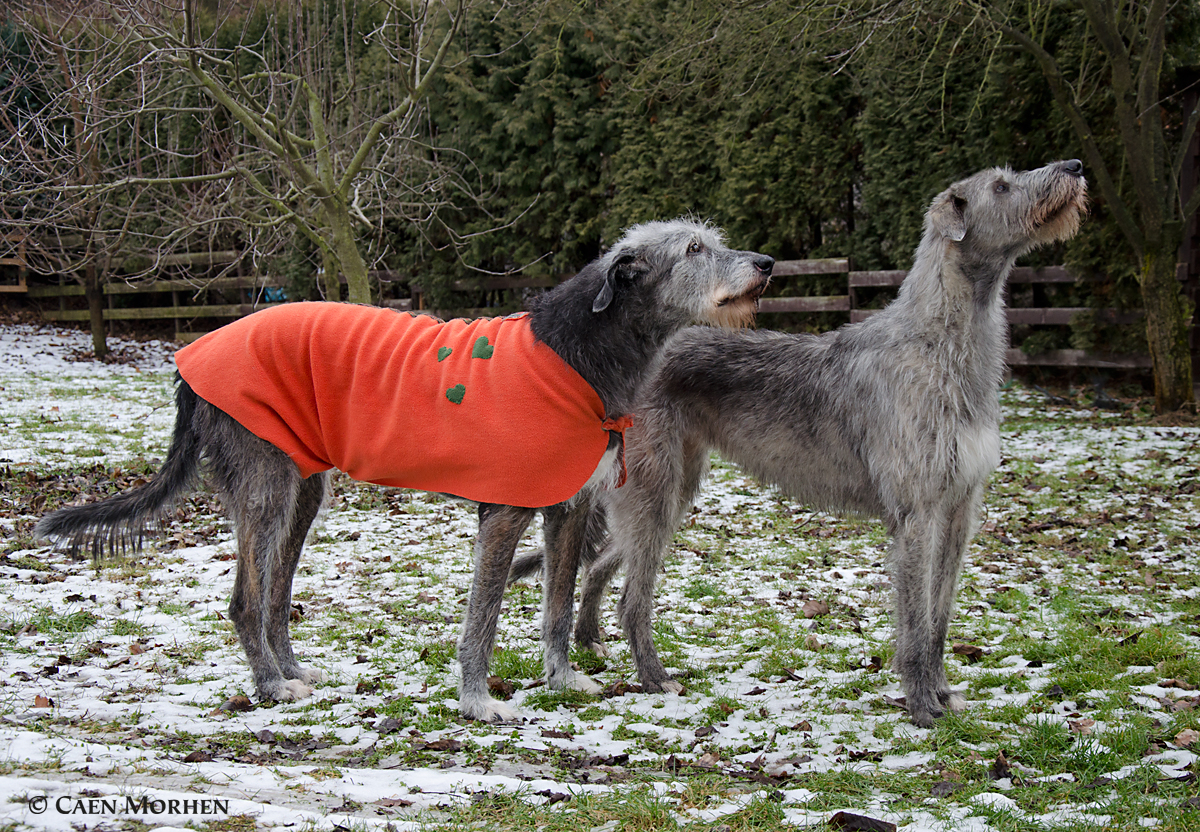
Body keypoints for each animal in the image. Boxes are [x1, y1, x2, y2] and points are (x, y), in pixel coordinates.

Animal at [37, 220, 777, 720]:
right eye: (692, 249)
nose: (768, 262)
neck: (572, 352)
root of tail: (190, 363)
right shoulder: (504, 509)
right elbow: (483, 616)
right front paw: (479, 701)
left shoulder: (566, 508)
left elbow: (559, 603)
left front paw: (563, 680)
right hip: (266, 484)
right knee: (246, 597)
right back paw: (270, 687)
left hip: (304, 490)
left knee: (275, 594)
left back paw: (290, 671)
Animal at [511, 158, 1094, 725]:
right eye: (1001, 185)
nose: (1075, 164)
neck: (938, 345)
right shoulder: (917, 512)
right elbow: (914, 620)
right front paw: (922, 707)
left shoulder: (959, 506)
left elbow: (940, 618)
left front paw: (945, 696)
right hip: (654, 486)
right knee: (634, 595)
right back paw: (655, 678)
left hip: (671, 488)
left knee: (605, 561)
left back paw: (591, 641)